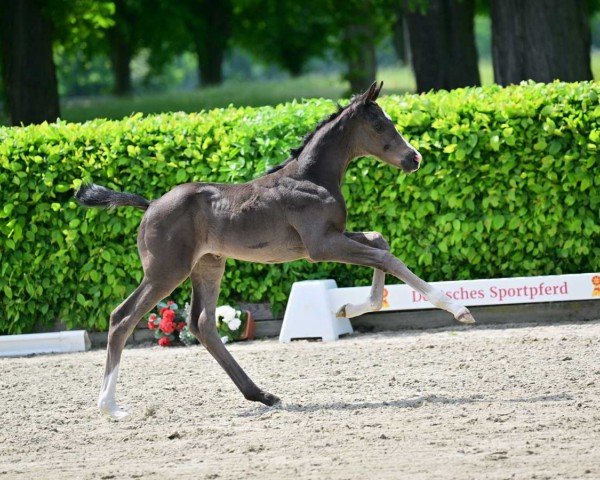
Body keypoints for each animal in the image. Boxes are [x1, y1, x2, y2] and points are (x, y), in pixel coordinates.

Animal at [77, 82, 476, 420]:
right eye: (379, 125)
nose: (415, 159)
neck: (312, 178)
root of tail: (149, 205)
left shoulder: (334, 235)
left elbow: (379, 241)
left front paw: (349, 307)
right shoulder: (320, 245)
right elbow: (386, 256)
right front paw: (458, 309)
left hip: (208, 266)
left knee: (202, 323)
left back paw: (263, 395)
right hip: (165, 272)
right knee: (122, 318)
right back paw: (110, 407)